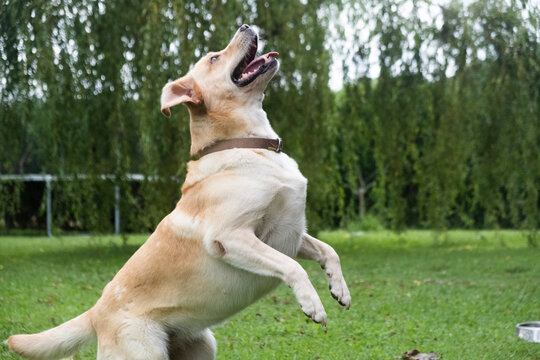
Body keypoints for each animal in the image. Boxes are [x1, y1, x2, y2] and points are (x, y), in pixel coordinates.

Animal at [7, 23, 350, 358]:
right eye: (214, 58)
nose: (245, 24)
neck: (247, 145)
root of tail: (95, 313)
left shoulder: (290, 232)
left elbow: (329, 251)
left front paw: (340, 289)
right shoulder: (231, 236)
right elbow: (293, 267)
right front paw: (313, 304)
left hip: (203, 345)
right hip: (145, 353)